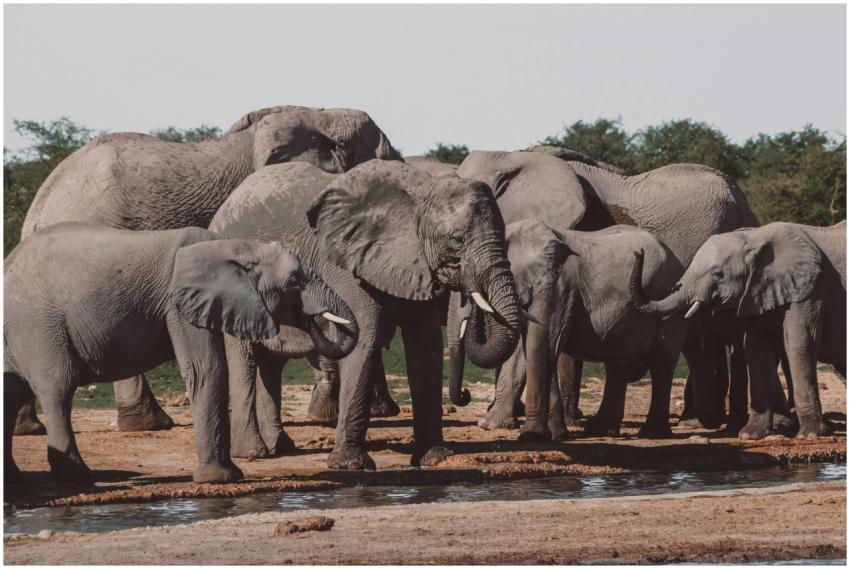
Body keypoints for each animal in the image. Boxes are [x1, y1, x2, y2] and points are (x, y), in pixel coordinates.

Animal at [4, 222, 357, 483]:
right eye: (295, 281)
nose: (313, 319)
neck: (233, 245)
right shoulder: (178, 303)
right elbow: (207, 368)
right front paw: (221, 479)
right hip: (37, 325)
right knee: (58, 388)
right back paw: (77, 477)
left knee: (12, 392)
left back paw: (16, 478)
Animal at [208, 160, 522, 468]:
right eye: (456, 240)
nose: (465, 396)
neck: (420, 192)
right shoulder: (344, 265)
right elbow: (364, 336)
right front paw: (350, 464)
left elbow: (426, 346)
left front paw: (435, 458)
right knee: (245, 357)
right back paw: (253, 452)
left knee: (271, 363)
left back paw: (280, 447)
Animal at [450, 151, 760, 434]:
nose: (464, 395)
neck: (516, 157)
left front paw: (496, 423)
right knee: (696, 343)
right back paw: (698, 421)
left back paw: (713, 423)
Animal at [630, 221, 846, 439]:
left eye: (718, 274)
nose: (638, 252)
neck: (754, 238)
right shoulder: (755, 293)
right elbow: (756, 349)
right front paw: (750, 435)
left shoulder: (810, 290)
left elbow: (800, 343)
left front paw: (810, 435)